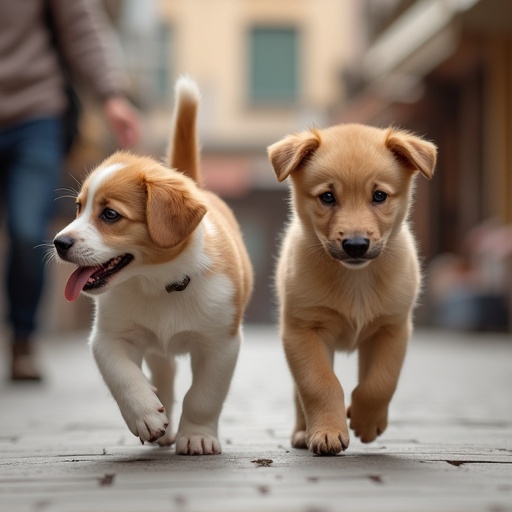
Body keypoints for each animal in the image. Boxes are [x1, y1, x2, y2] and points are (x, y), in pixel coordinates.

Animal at [53, 77, 253, 456]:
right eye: (78, 208)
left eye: (110, 215)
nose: (59, 243)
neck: (158, 283)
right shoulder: (107, 337)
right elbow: (123, 376)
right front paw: (145, 414)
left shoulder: (221, 343)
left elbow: (203, 396)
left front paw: (198, 436)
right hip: (158, 352)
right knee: (166, 378)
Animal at [268, 124, 436, 456]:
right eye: (327, 197)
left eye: (379, 195)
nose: (356, 245)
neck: (356, 279)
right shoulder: (302, 329)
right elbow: (319, 384)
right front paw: (328, 433)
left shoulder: (392, 327)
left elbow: (380, 383)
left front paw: (366, 422)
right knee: (299, 393)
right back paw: (303, 432)